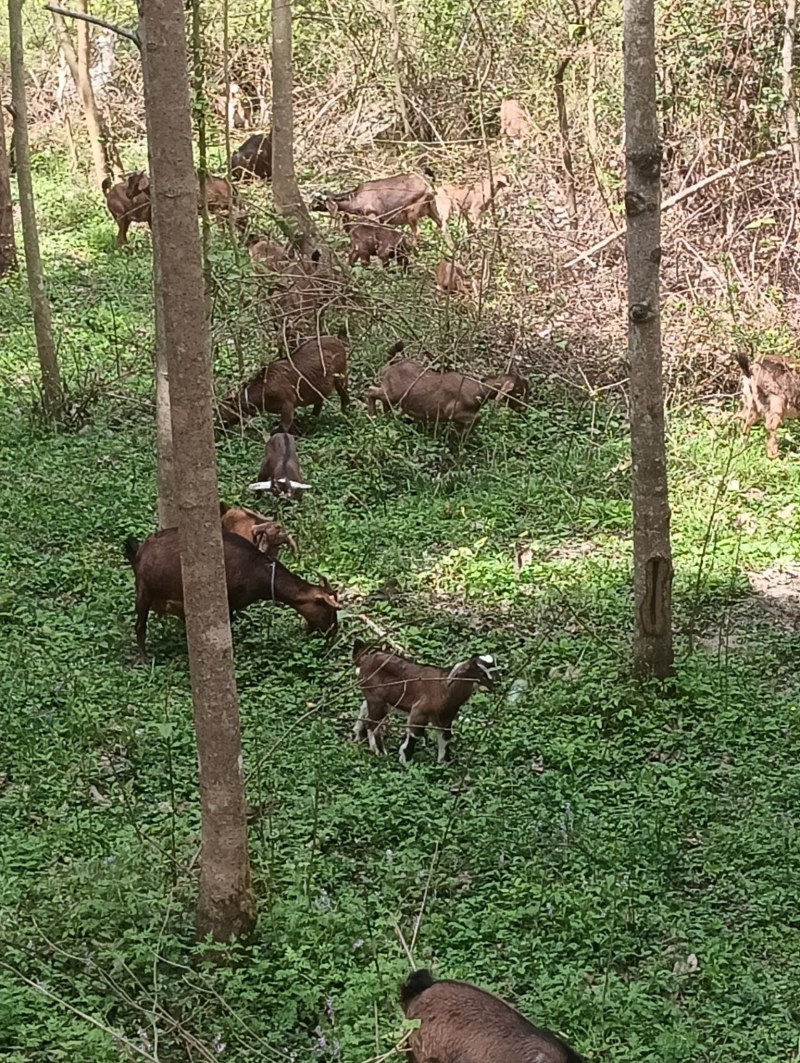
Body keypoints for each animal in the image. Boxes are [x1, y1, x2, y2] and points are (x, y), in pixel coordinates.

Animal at [123, 529, 337, 659]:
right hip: (144, 590)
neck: (258, 572)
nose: (333, 633)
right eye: (327, 609)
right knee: (139, 627)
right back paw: (144, 660)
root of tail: (139, 551)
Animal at [216, 335, 348, 427]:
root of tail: (340, 343)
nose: (218, 427)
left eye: (222, 413)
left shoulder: (288, 404)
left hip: (340, 377)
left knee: (345, 396)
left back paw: (345, 414)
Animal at [308, 173, 439, 238]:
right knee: (441, 224)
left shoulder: (374, 217)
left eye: (319, 201)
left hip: (412, 211)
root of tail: (427, 185)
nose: (309, 207)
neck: (356, 199)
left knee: (416, 232)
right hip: (432, 208)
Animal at [350, 637, 497, 765]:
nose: (496, 682)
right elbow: (415, 734)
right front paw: (405, 759)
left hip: (376, 698)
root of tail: (364, 659)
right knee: (373, 723)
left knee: (365, 710)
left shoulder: (445, 718)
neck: (444, 689)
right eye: (481, 671)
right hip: (377, 700)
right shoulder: (419, 712)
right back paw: (380, 752)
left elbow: (446, 737)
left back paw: (359, 736)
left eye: (496, 668)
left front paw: (444, 762)